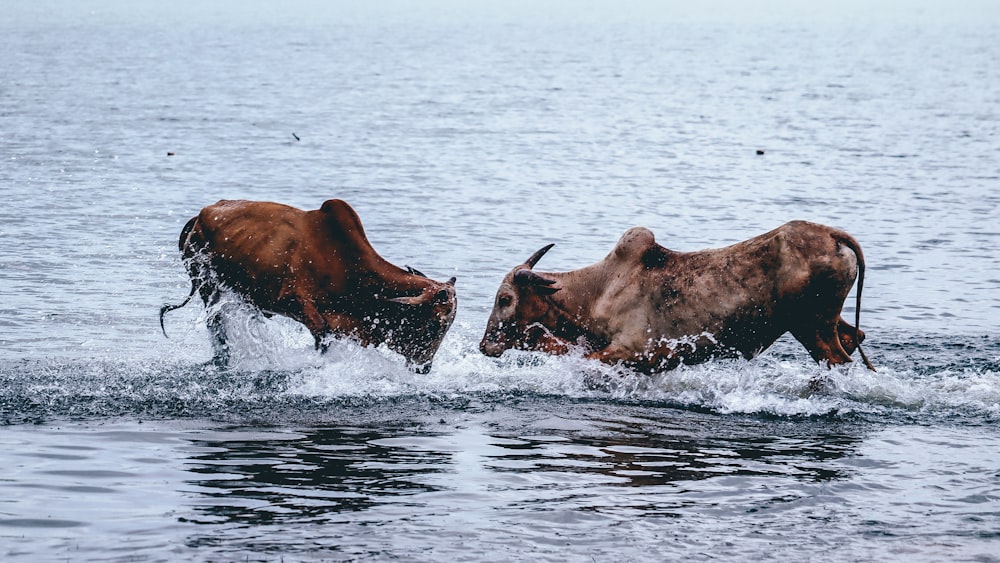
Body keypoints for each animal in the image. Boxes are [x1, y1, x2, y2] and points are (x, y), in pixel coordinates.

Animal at [160, 200, 458, 372]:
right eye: (435, 323)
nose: (424, 368)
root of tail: (198, 217)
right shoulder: (297, 304)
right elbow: (322, 339)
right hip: (206, 283)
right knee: (216, 325)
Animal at [480, 221, 872, 374]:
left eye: (504, 299)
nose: (485, 346)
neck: (594, 294)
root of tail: (834, 235)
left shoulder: (635, 351)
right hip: (822, 323)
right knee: (856, 336)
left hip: (811, 325)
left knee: (840, 361)